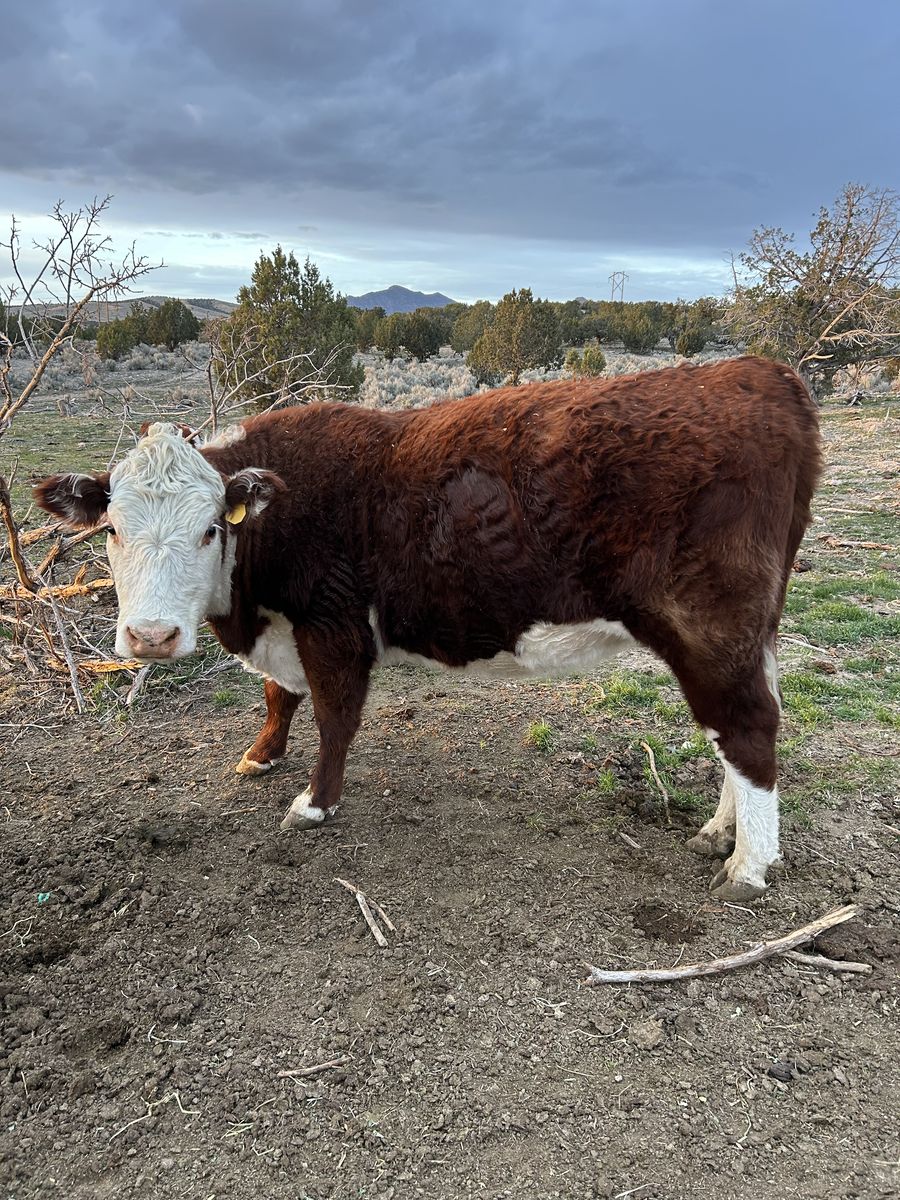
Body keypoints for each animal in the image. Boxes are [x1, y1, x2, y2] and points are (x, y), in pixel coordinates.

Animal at [34, 356, 821, 902]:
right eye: (111, 529)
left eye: (208, 530)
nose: (152, 637)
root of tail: (761, 372)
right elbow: (278, 697)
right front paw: (260, 755)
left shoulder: (333, 627)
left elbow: (333, 715)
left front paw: (314, 804)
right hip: (750, 633)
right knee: (745, 727)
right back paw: (721, 832)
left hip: (707, 627)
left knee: (747, 728)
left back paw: (749, 867)